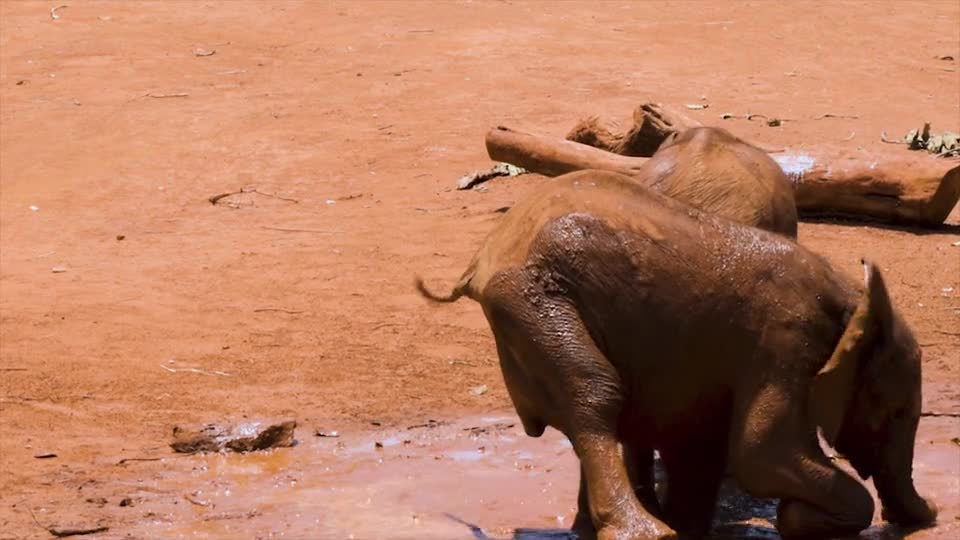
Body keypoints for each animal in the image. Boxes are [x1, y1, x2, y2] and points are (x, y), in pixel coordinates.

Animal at [414, 172, 936, 540]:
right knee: (596, 393)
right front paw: (797, 518)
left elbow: (702, 444)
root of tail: (485, 254)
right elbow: (763, 454)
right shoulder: (786, 341)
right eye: (897, 412)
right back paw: (645, 532)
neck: (853, 299)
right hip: (533, 301)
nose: (930, 515)